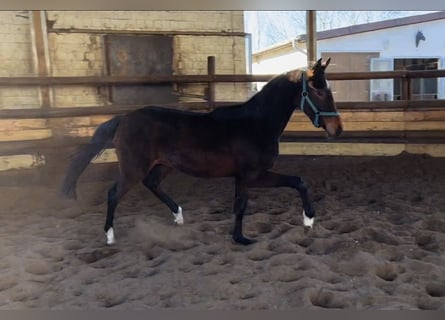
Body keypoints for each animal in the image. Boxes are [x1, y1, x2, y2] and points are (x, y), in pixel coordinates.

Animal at [60, 58, 342, 245]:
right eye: (318, 91)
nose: (337, 130)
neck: (257, 123)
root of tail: (124, 119)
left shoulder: (243, 178)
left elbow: (240, 206)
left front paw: (239, 237)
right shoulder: (254, 175)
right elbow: (298, 181)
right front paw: (308, 221)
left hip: (163, 165)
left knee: (151, 184)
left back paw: (178, 216)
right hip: (133, 168)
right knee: (114, 193)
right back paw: (109, 235)